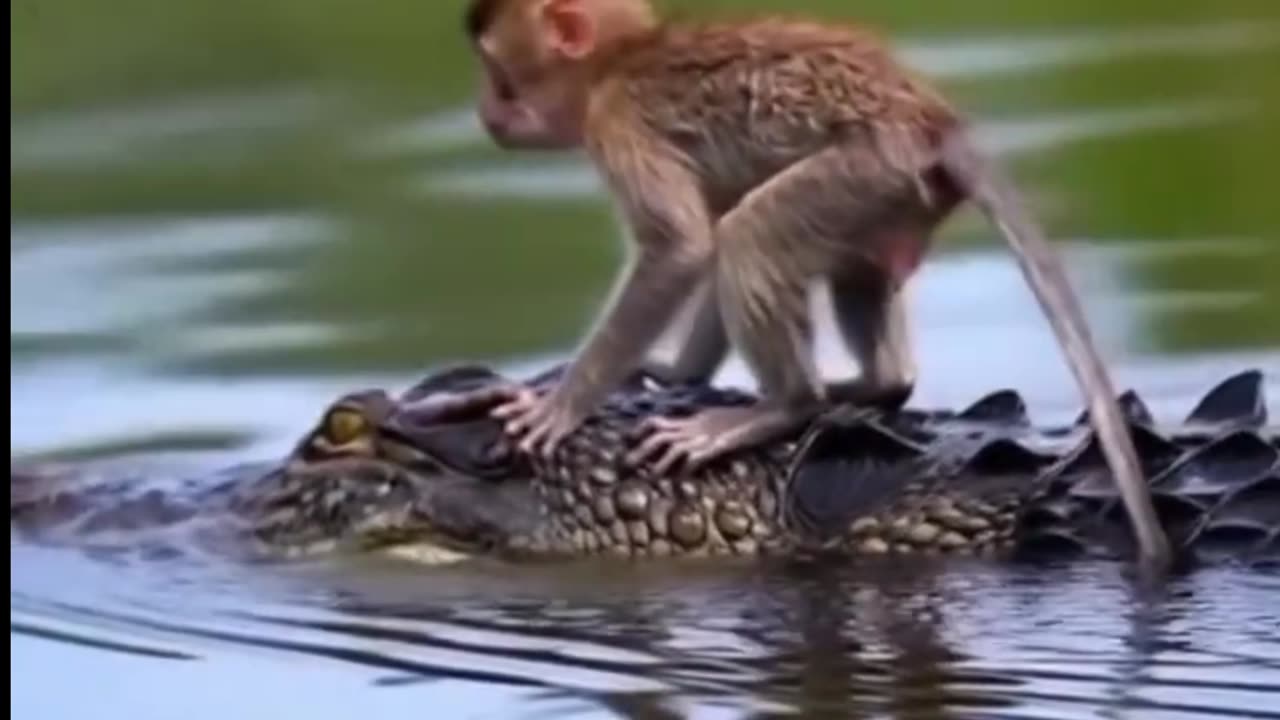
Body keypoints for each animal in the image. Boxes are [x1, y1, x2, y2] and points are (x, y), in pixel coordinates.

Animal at [459, 0, 1171, 566]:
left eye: (500, 79)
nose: (486, 112)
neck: (619, 60)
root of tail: (934, 123)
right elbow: (706, 237)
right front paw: (678, 373)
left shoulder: (618, 124)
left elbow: (684, 248)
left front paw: (557, 408)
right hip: (887, 196)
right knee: (848, 267)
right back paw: (875, 384)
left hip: (861, 170)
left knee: (751, 234)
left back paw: (786, 406)